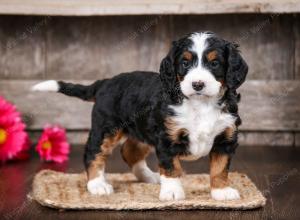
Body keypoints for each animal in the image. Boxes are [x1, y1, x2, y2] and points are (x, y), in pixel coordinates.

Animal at [32, 31, 248, 201]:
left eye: (215, 63)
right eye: (185, 63)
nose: (198, 84)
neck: (201, 104)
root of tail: (105, 82)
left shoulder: (225, 138)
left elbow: (220, 167)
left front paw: (221, 191)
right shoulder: (167, 138)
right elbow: (171, 167)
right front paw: (172, 192)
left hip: (142, 130)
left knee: (130, 152)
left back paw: (149, 177)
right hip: (107, 128)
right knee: (93, 153)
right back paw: (97, 185)